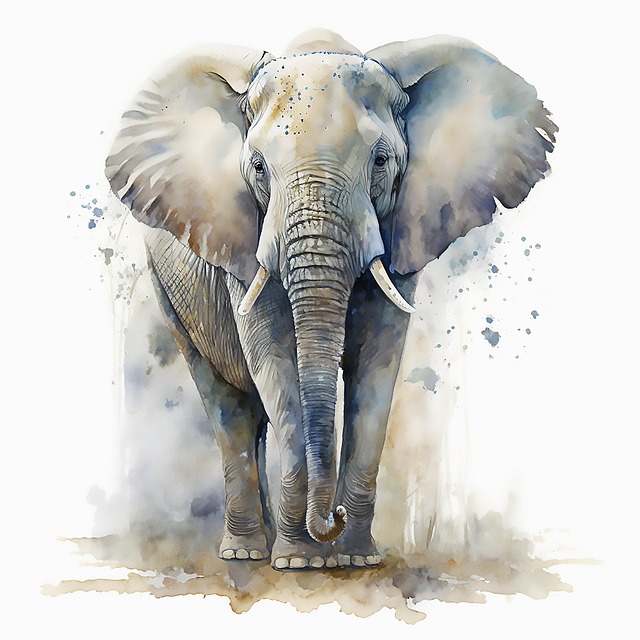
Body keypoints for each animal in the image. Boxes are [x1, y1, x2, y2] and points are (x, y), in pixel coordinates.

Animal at [105, 29, 555, 570]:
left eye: (381, 161)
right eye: (258, 167)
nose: (331, 519)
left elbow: (378, 364)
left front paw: (356, 559)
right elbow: (275, 358)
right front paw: (300, 562)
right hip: (165, 291)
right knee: (226, 403)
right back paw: (247, 553)